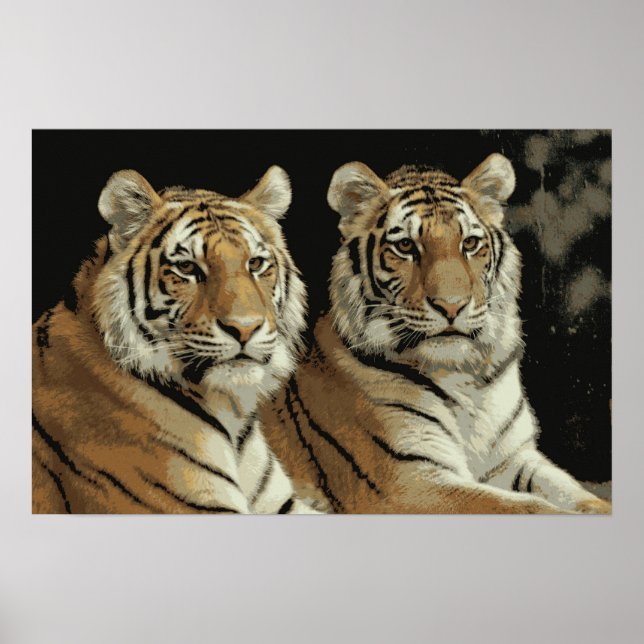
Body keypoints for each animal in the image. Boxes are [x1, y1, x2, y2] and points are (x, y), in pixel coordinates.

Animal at [261, 154, 611, 514]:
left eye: (469, 243)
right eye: (405, 246)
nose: (451, 305)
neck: (466, 377)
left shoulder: (515, 458)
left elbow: (574, 492)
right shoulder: (407, 482)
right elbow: (524, 506)